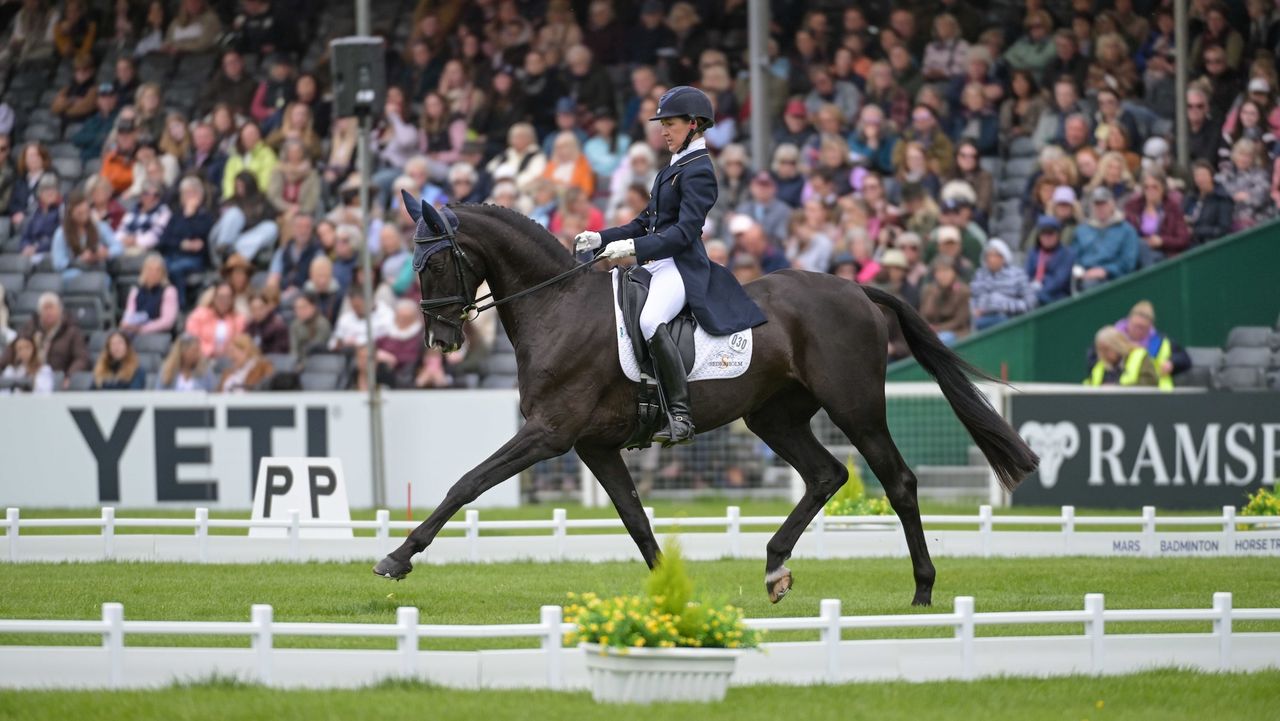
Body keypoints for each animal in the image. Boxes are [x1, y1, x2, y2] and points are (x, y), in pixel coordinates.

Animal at [373, 199, 1039, 606]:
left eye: (436, 263)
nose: (440, 341)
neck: (557, 305)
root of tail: (854, 288)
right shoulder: (594, 446)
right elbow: (636, 519)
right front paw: (672, 594)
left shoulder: (548, 432)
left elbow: (467, 483)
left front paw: (397, 557)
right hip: (772, 415)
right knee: (827, 474)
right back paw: (774, 568)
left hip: (855, 408)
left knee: (898, 482)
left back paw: (922, 591)